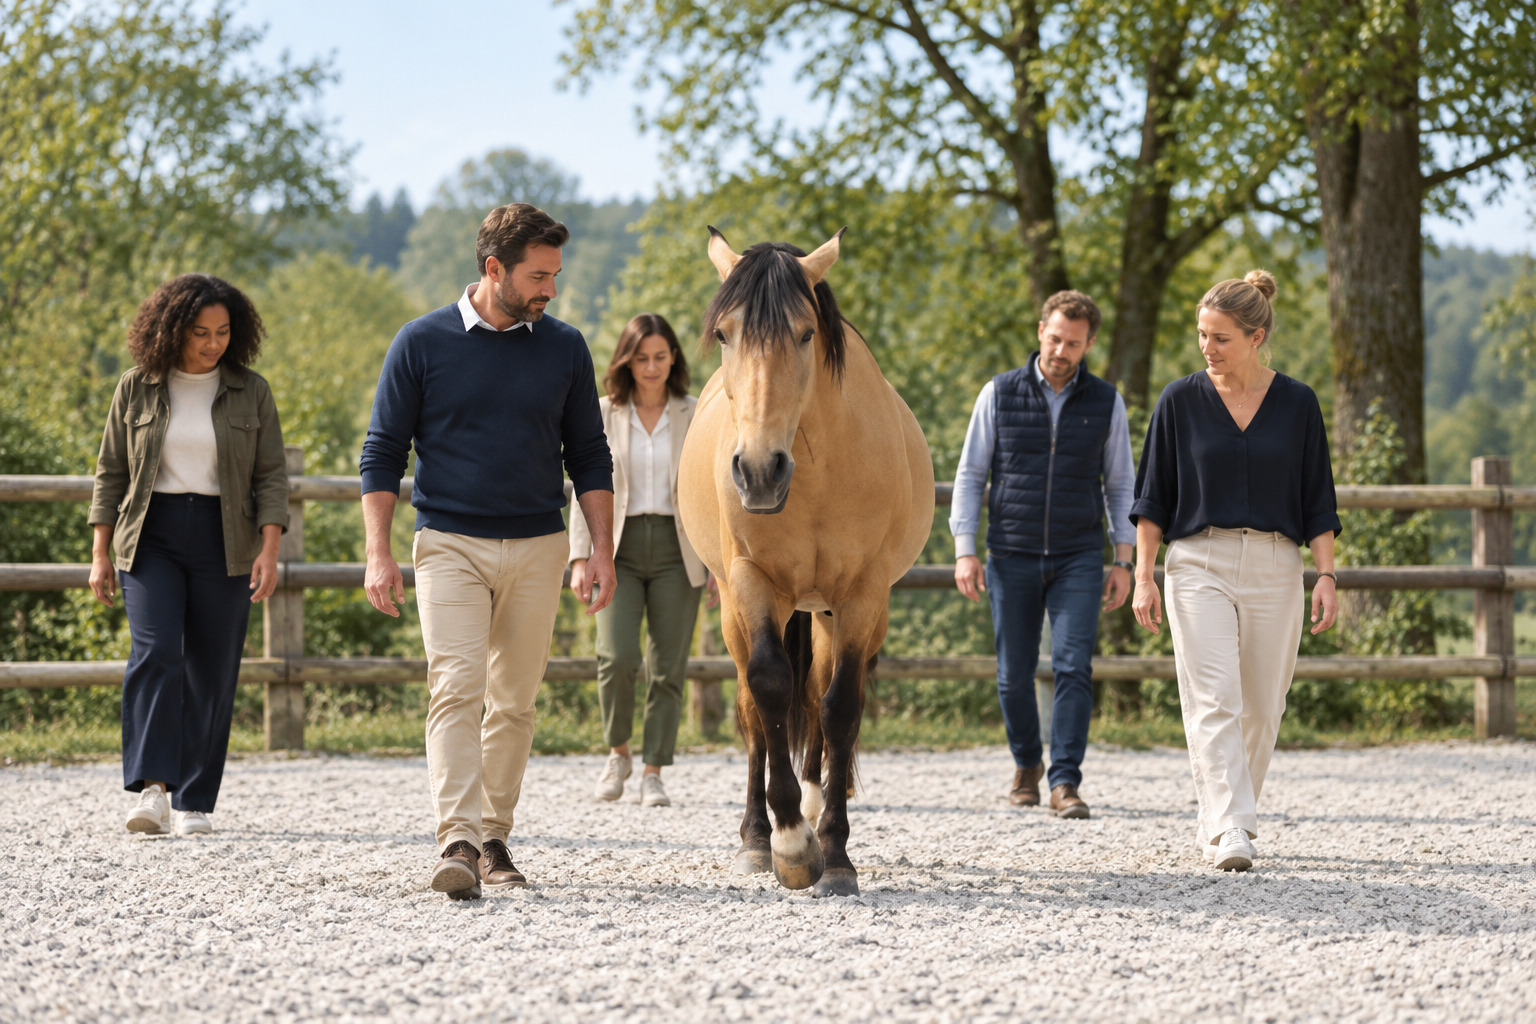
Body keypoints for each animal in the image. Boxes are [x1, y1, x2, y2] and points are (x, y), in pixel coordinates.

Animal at [677, 227, 934, 897]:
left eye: (804, 333)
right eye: (725, 334)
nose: (759, 471)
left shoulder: (863, 594)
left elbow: (839, 705)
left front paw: (835, 853)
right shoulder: (752, 583)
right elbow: (769, 687)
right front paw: (791, 846)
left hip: (829, 610)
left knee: (821, 694)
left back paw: (819, 803)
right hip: (742, 608)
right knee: (752, 709)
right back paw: (756, 838)